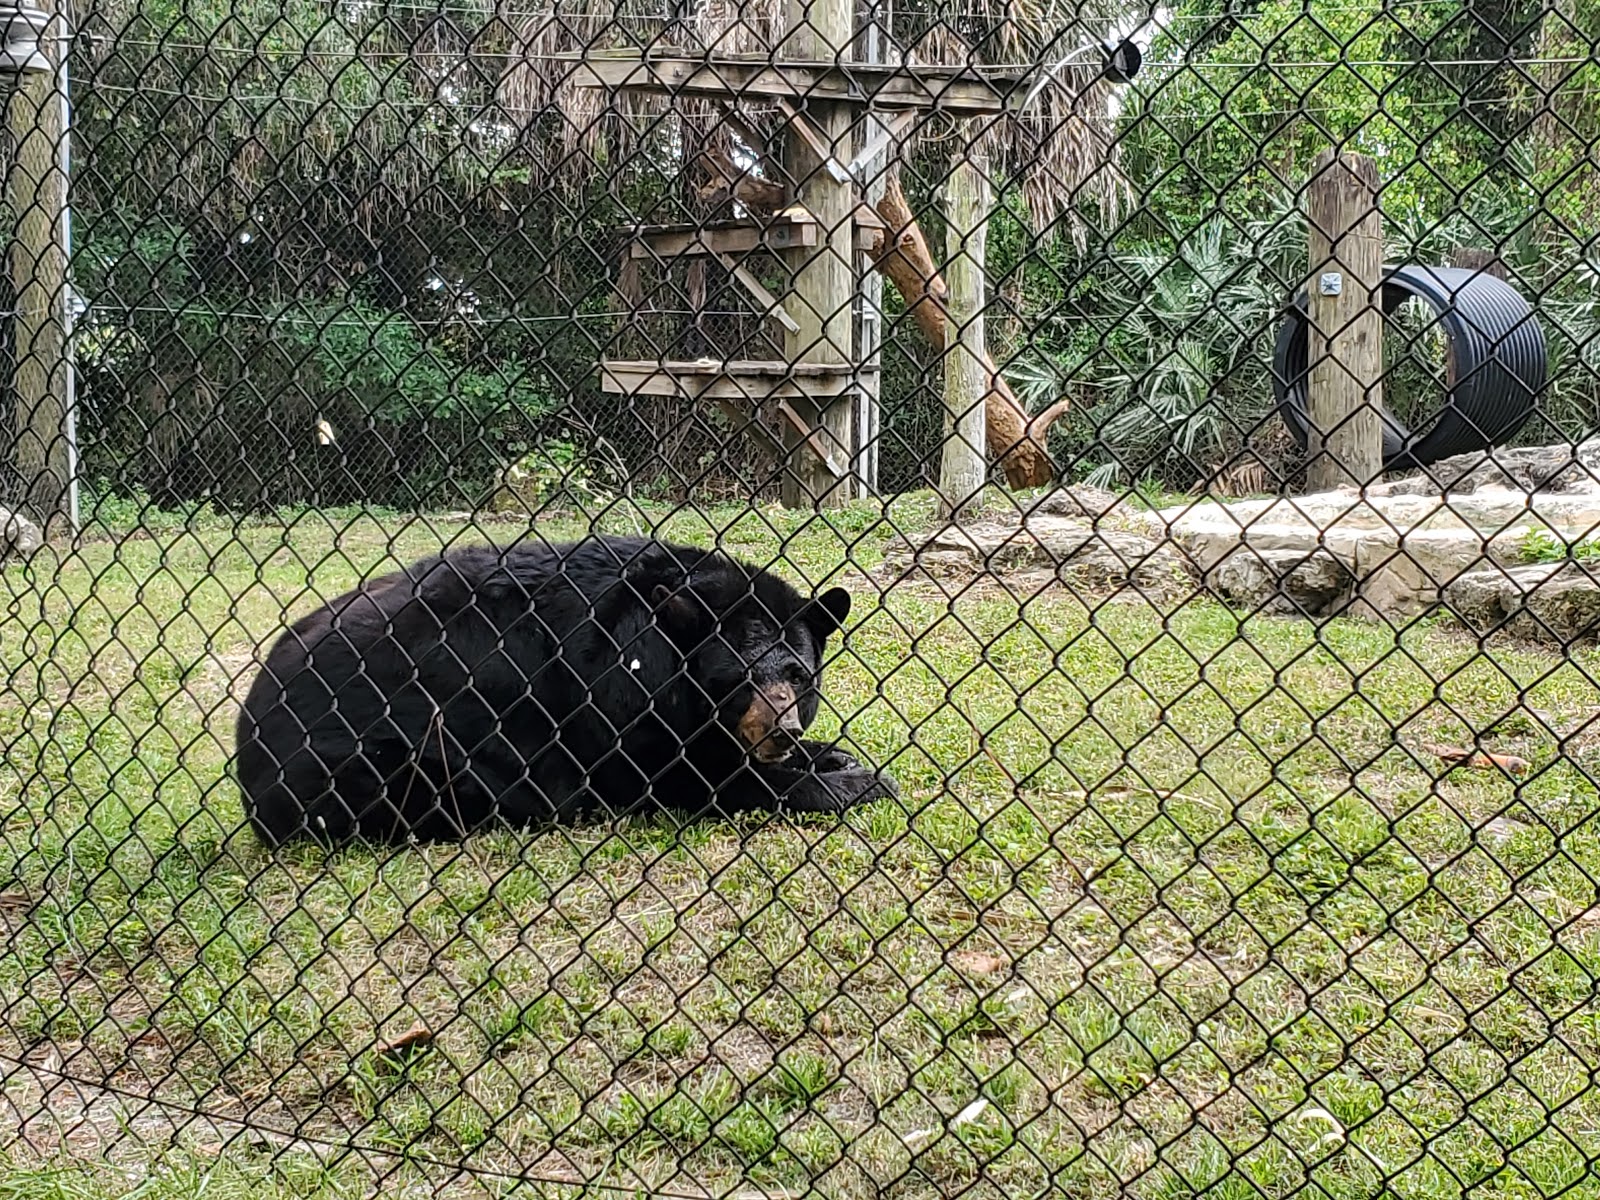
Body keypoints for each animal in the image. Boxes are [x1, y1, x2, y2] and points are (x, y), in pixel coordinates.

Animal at [233, 534, 902, 844]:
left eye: (798, 676)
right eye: (737, 679)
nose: (780, 732)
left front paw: (833, 754)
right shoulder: (612, 695)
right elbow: (680, 778)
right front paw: (857, 782)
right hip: (369, 765)